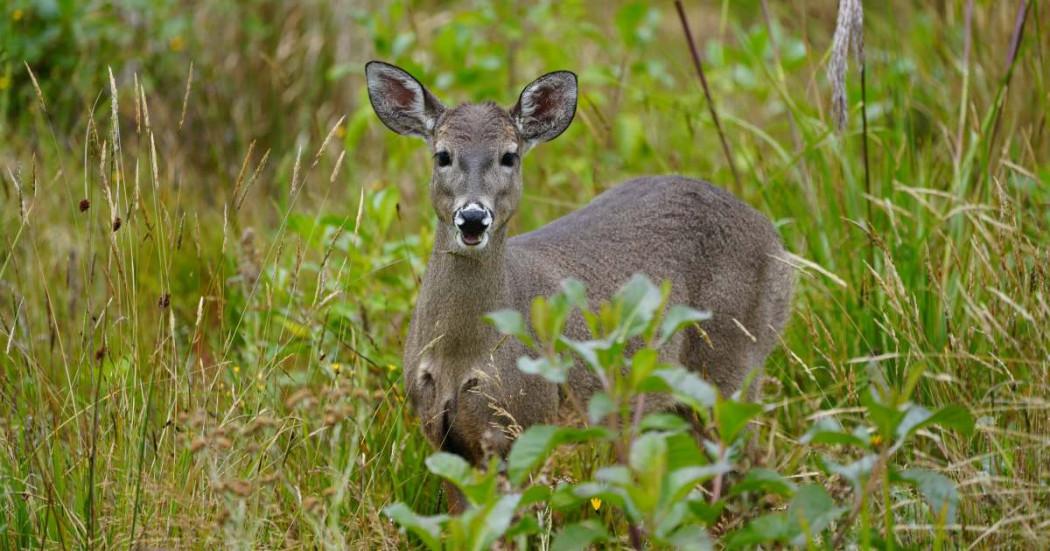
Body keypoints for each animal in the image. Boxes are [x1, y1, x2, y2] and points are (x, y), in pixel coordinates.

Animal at [365, 60, 789, 507]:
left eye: (509, 156)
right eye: (442, 155)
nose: (473, 217)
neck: (460, 356)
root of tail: (775, 237)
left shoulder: (526, 421)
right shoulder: (441, 436)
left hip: (737, 361)